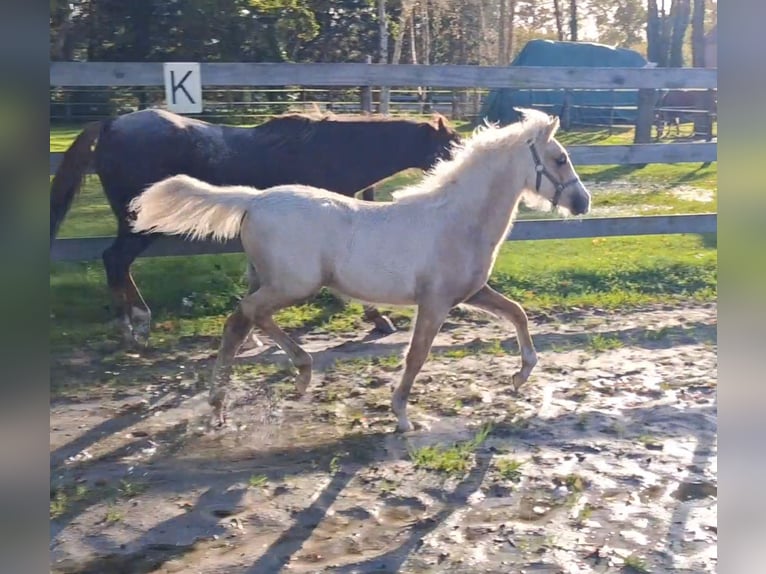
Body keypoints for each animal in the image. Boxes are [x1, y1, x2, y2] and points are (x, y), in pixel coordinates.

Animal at [50, 108, 461, 346]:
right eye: (451, 146)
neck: (329, 153)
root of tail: (110, 124)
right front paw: (378, 319)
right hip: (139, 226)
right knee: (115, 260)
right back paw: (134, 325)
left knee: (116, 262)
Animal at [128, 108, 591, 433]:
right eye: (559, 158)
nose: (583, 203)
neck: (458, 219)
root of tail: (254, 200)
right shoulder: (436, 301)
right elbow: (417, 354)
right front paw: (402, 416)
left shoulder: (472, 292)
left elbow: (518, 313)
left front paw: (520, 376)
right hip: (293, 285)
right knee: (246, 315)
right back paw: (281, 380)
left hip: (273, 281)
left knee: (240, 323)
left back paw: (238, 399)